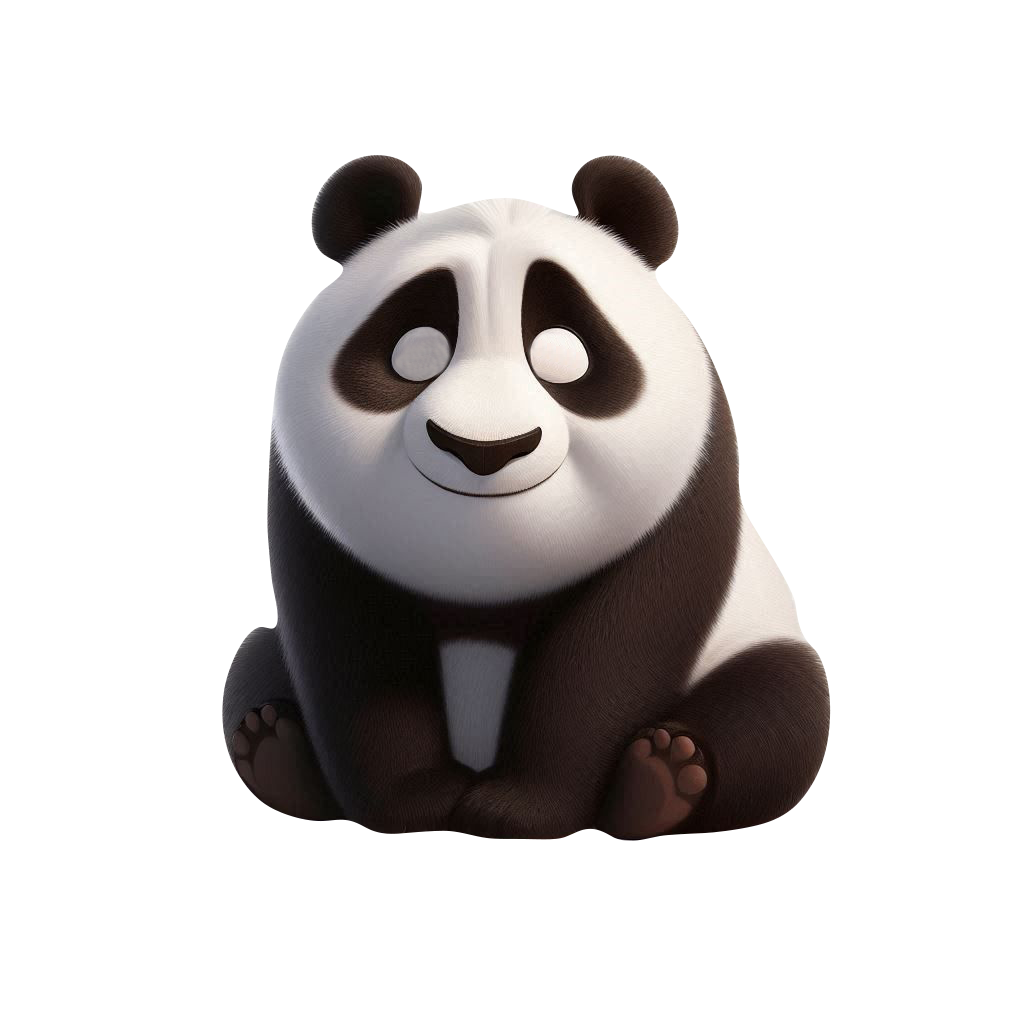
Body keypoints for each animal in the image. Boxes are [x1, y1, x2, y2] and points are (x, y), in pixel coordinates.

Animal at [223, 155, 831, 840]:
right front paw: (419, 801)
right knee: (254, 662)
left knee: (781, 706)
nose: (484, 448)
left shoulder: (686, 485)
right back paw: (273, 746)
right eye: (416, 352)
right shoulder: (312, 507)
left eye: (565, 355)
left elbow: (614, 648)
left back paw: (665, 777)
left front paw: (519, 808)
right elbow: (356, 647)